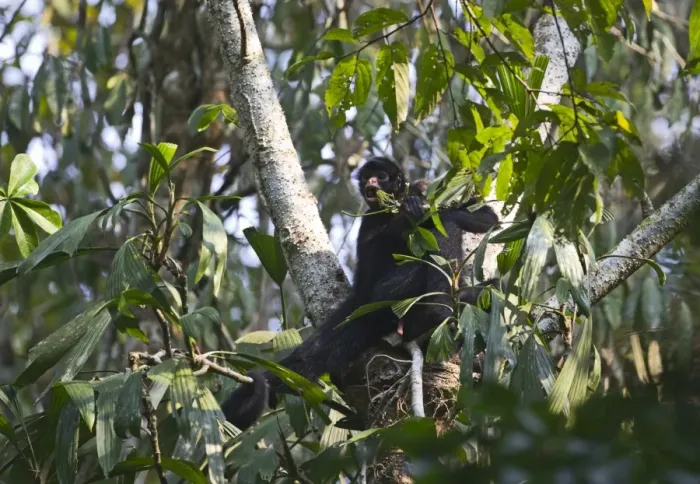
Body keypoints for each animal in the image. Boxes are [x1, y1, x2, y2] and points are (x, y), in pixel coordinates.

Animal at [221, 157, 499, 430]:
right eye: (367, 177)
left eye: (381, 176)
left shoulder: (423, 186)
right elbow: (372, 260)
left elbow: (486, 216)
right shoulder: (369, 219)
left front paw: (416, 205)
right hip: (386, 294)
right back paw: (436, 312)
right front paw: (411, 212)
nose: (371, 183)